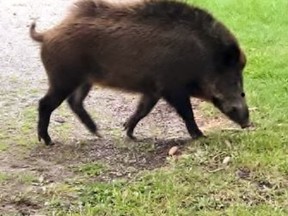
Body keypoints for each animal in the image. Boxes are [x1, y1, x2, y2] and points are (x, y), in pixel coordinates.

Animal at [28, 0, 250, 145]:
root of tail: (47, 34)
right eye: (237, 84)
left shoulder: (153, 89)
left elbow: (143, 109)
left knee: (74, 102)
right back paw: (48, 141)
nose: (248, 123)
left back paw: (98, 134)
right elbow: (186, 112)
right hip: (63, 77)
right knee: (45, 103)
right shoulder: (172, 87)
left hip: (84, 80)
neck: (204, 58)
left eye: (243, 90)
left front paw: (130, 133)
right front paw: (201, 136)